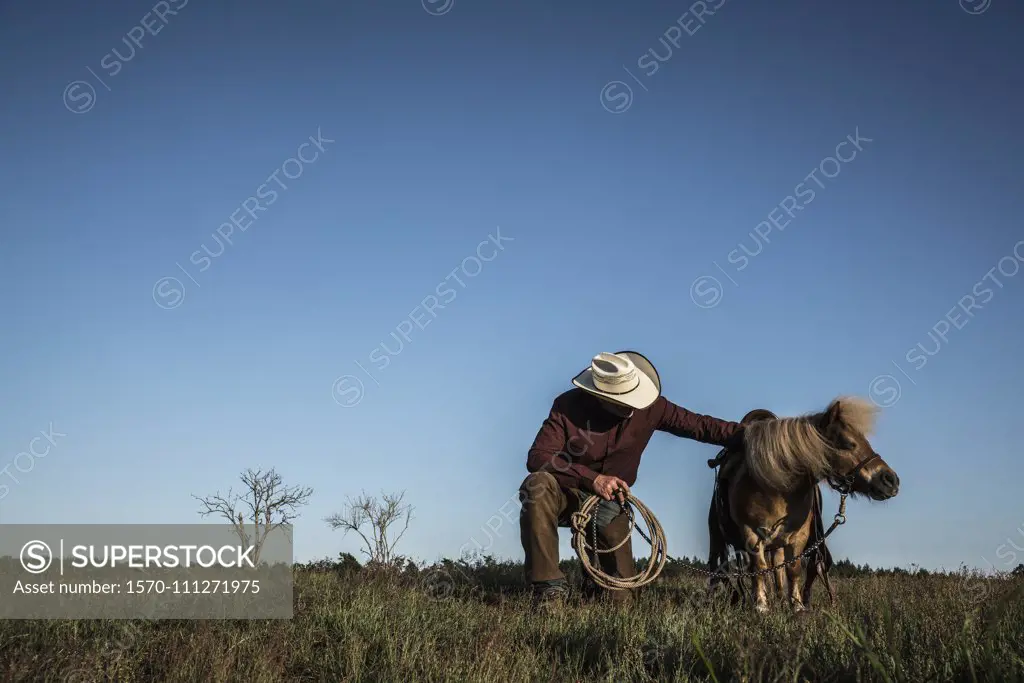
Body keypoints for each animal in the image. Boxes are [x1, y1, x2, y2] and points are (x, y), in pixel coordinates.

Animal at [704, 397, 897, 610]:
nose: (891, 480)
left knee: (778, 569)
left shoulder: (798, 536)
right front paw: (761, 606)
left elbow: (793, 569)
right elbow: (759, 567)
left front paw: (796, 606)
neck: (776, 486)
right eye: (848, 444)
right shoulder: (751, 534)